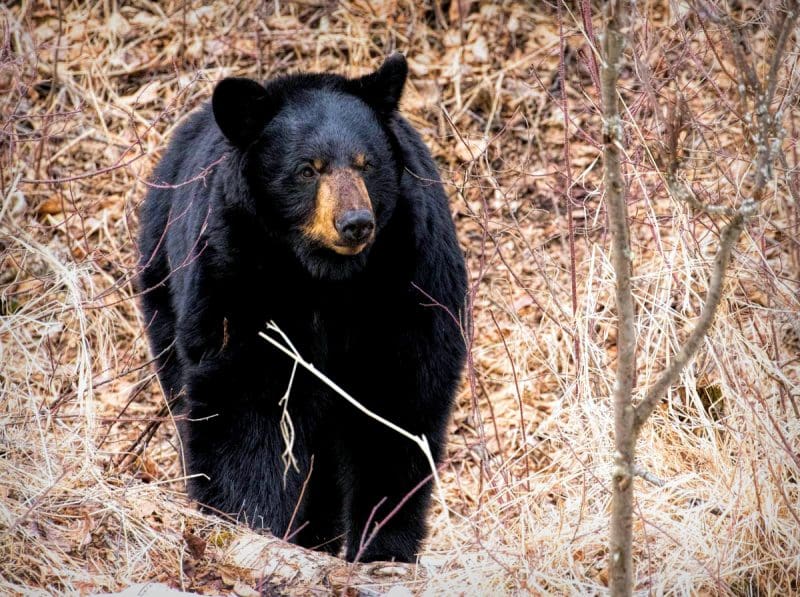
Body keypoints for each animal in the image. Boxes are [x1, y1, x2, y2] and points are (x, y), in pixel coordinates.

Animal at [137, 54, 467, 563]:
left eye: (367, 164)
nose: (356, 223)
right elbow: (249, 399)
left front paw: (383, 546)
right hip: (163, 280)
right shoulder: (241, 270)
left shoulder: (410, 277)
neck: (329, 277)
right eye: (308, 170)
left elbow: (399, 400)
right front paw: (250, 521)